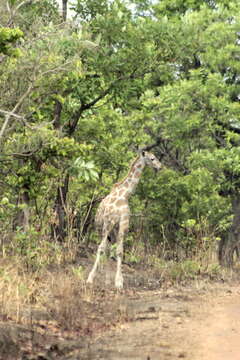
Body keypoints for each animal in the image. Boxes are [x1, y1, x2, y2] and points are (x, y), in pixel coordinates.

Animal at [86, 150, 163, 290]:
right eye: (152, 158)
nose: (160, 167)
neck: (124, 195)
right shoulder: (108, 222)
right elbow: (100, 248)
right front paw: (90, 278)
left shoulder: (123, 223)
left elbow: (120, 251)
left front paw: (119, 282)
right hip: (102, 228)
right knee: (104, 248)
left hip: (113, 231)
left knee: (109, 250)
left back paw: (107, 280)